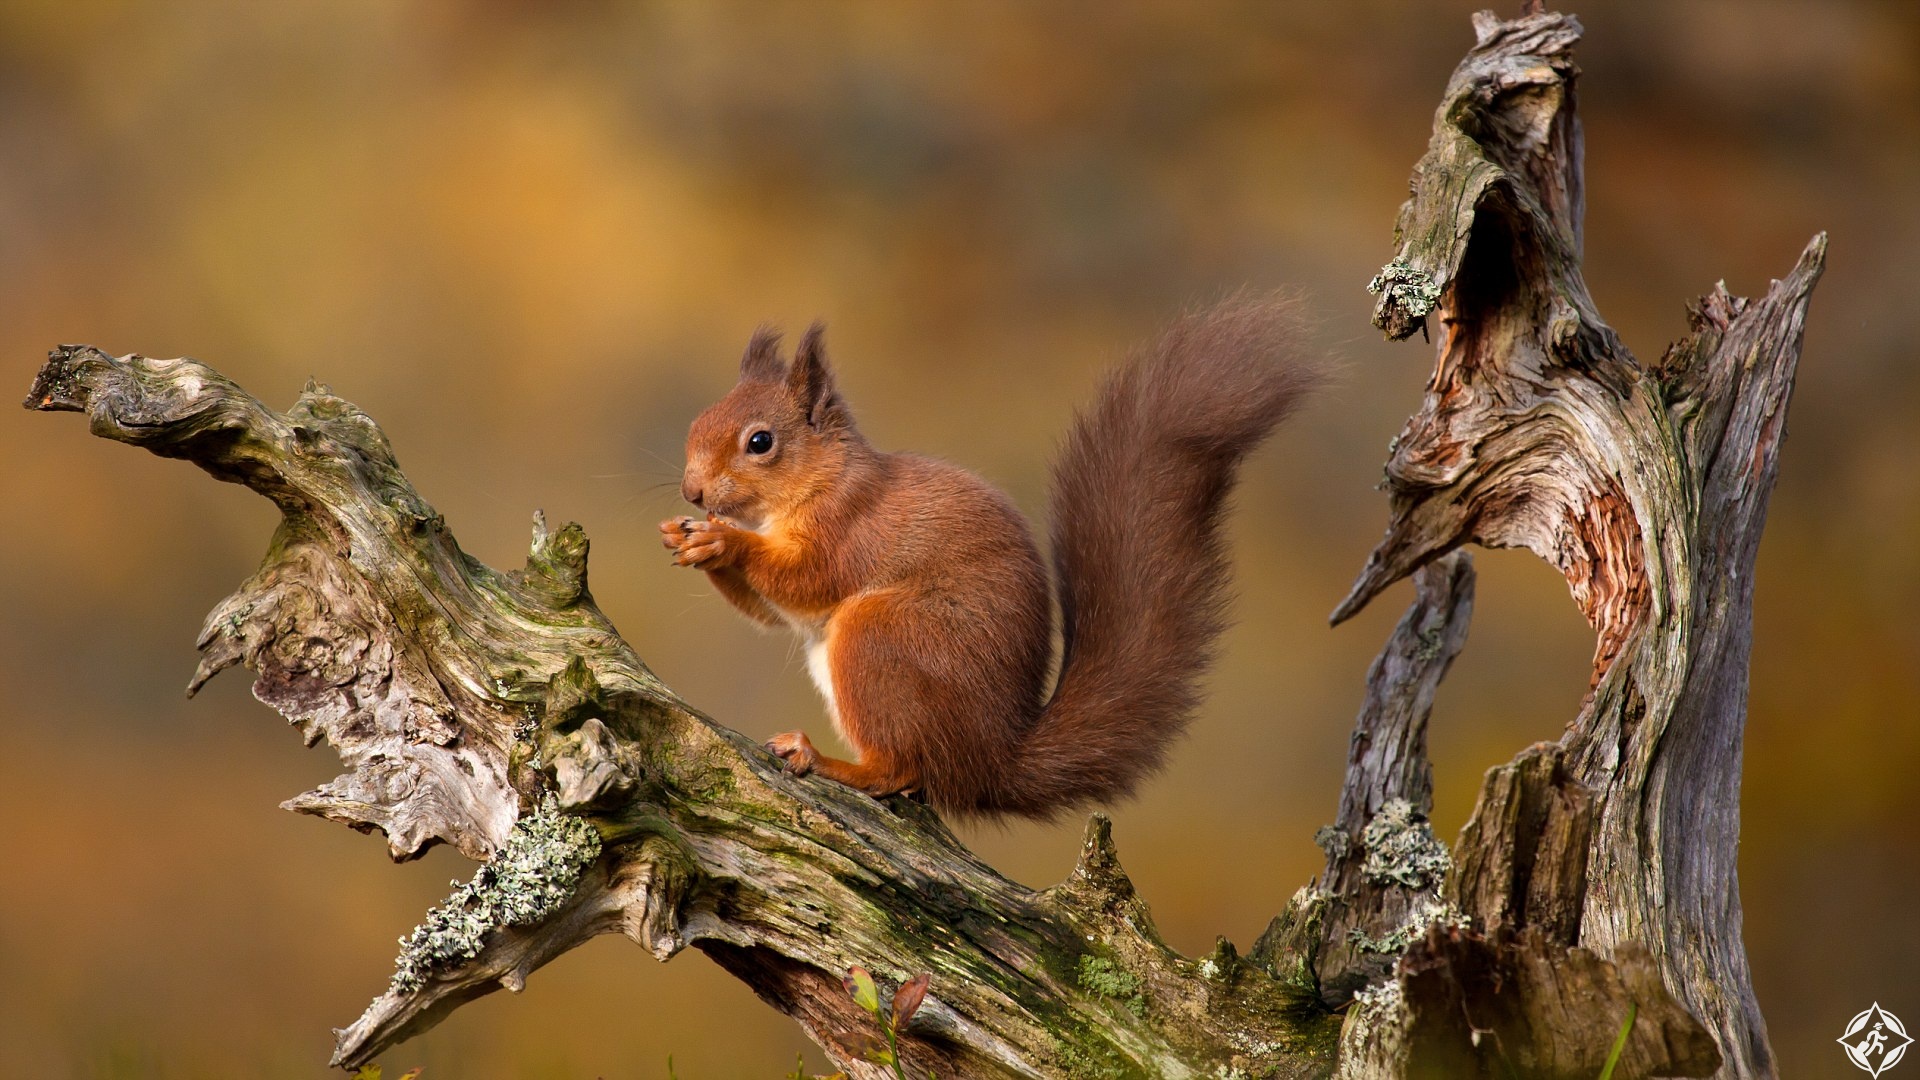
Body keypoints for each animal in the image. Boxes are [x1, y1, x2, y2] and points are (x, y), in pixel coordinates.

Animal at [664, 294, 1320, 814]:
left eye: (760, 442)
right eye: (696, 423)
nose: (692, 491)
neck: (820, 482)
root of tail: (991, 762)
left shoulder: (850, 529)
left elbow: (807, 579)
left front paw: (723, 538)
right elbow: (771, 614)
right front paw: (684, 535)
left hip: (881, 637)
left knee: (899, 769)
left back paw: (826, 760)